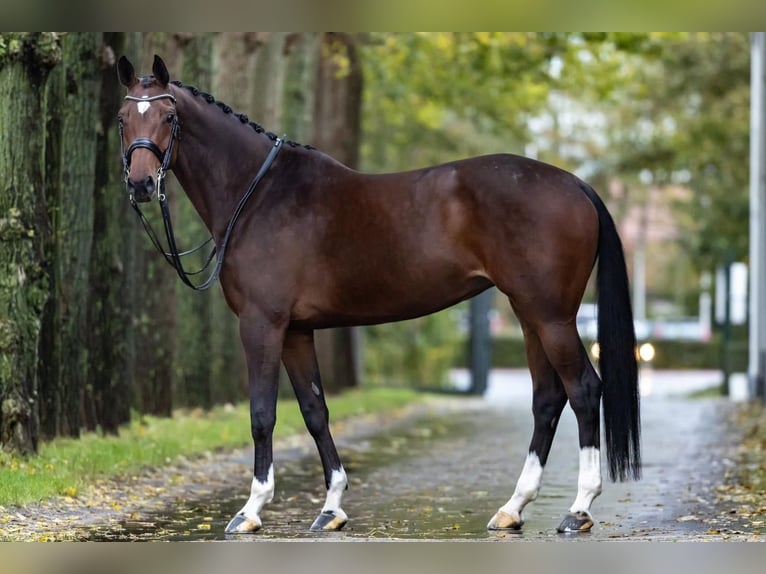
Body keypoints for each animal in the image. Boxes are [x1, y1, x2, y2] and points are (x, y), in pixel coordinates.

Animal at [115, 56, 640, 536]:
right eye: (123, 118)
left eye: (167, 117)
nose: (141, 184)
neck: (260, 195)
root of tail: (575, 183)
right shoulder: (297, 331)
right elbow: (315, 412)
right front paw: (331, 508)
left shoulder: (262, 325)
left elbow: (262, 414)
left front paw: (251, 511)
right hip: (530, 316)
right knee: (547, 399)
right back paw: (513, 508)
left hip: (552, 317)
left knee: (583, 390)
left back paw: (579, 509)